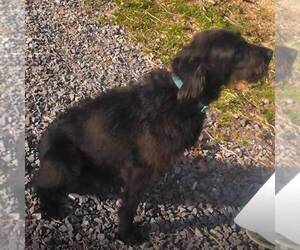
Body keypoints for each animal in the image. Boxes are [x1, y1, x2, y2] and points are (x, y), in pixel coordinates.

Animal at [34, 29, 274, 244]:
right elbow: (129, 207)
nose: (270, 53)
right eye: (237, 51)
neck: (181, 97)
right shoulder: (140, 169)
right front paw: (127, 234)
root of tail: (42, 144)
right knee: (41, 184)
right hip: (67, 160)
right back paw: (51, 206)